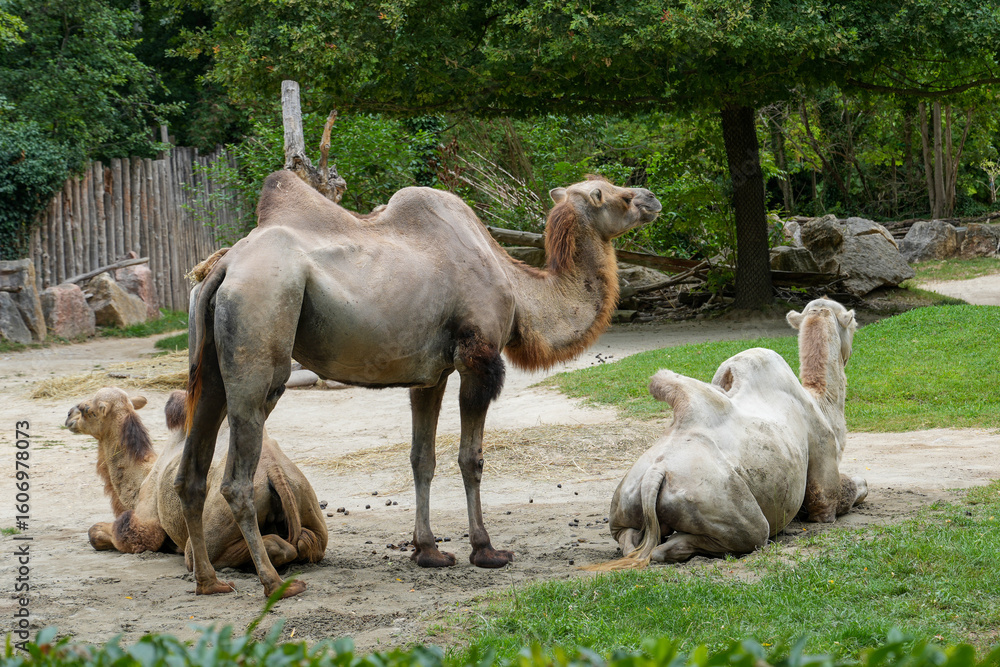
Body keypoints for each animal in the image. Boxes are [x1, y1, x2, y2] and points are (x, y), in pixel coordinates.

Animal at [67, 387, 327, 573]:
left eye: (87, 408)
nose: (68, 415)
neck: (141, 479)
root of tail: (275, 471)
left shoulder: (146, 522)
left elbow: (101, 533)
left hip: (220, 514)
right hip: (305, 498)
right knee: (306, 541)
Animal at [177, 172, 661, 597]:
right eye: (615, 195)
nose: (652, 198)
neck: (519, 288)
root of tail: (223, 269)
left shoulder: (431, 374)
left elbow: (421, 458)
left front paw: (428, 551)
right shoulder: (479, 359)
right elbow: (471, 458)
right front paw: (486, 550)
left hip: (212, 368)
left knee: (191, 472)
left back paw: (209, 582)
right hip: (261, 338)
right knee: (236, 478)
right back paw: (275, 582)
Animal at [602, 297, 868, 567]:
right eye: (854, 324)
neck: (821, 404)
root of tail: (654, 475)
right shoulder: (823, 472)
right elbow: (851, 491)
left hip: (623, 501)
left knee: (629, 539)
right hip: (723, 506)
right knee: (745, 535)